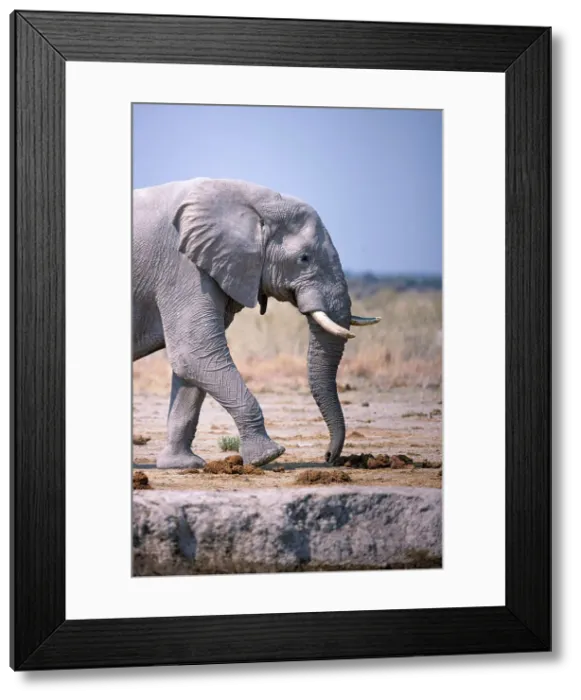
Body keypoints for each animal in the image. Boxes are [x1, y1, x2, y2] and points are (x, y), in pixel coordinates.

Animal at [132, 177, 381, 469]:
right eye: (304, 258)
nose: (329, 457)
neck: (253, 203)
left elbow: (192, 367)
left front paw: (183, 465)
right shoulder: (183, 268)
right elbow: (195, 354)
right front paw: (268, 456)